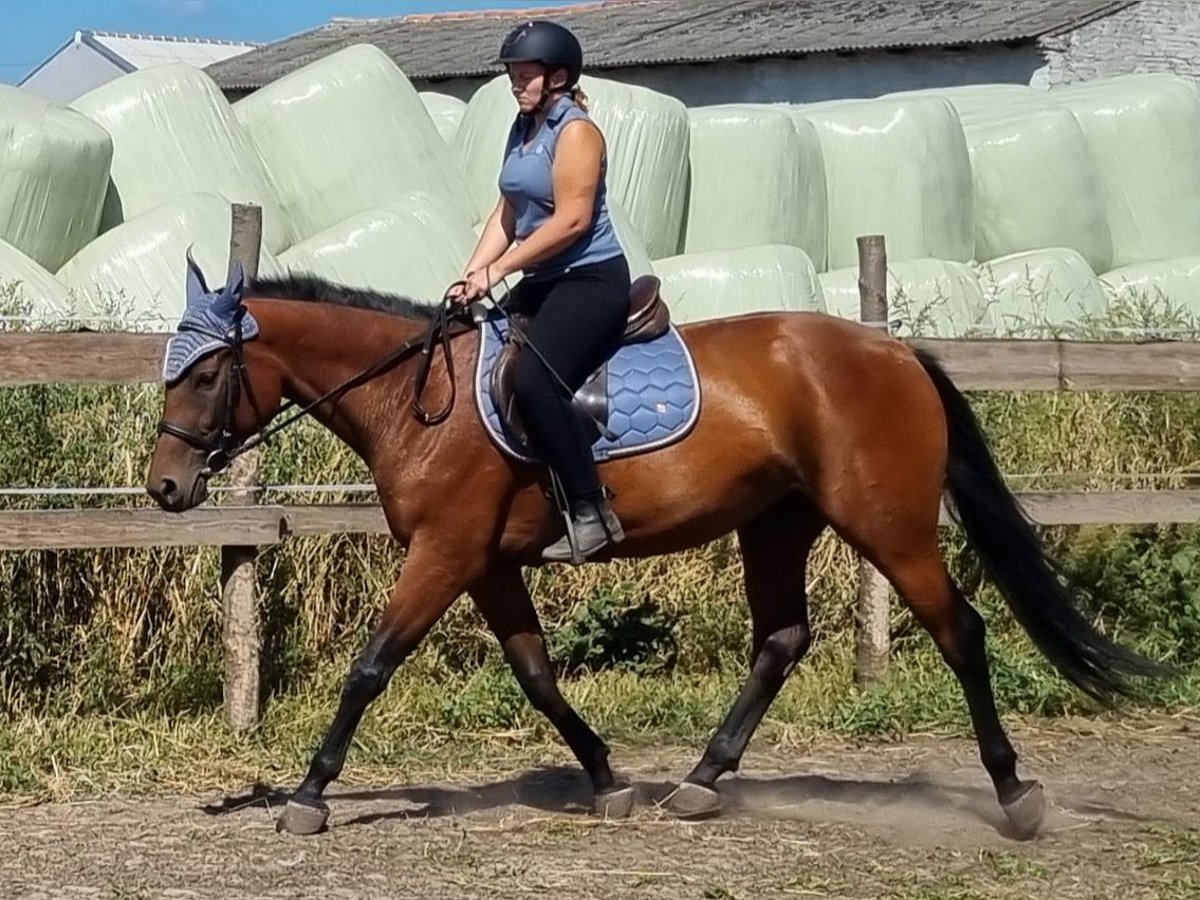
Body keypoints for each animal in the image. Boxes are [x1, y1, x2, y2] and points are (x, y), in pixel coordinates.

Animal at [145, 256, 1166, 844]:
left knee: (960, 632)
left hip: (887, 524)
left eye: (206, 373)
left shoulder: (445, 553)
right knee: (781, 639)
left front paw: (309, 794)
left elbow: (369, 667)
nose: (164, 489)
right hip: (777, 521)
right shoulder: (487, 564)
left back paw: (1016, 797)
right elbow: (538, 676)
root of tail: (894, 350)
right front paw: (607, 780)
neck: (414, 397)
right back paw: (701, 782)